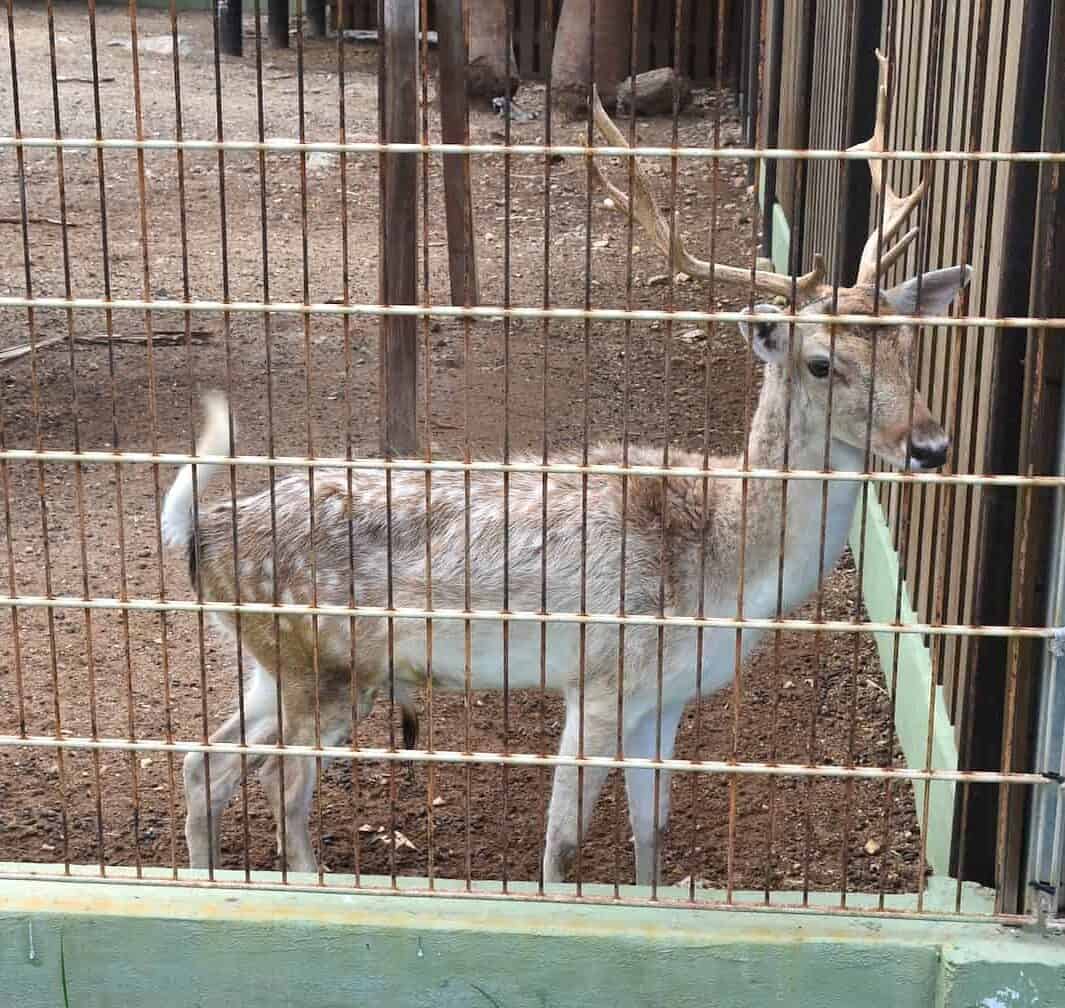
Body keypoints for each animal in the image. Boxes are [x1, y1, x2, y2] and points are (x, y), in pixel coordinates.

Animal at [161, 49, 971, 878]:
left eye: (906, 345)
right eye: (820, 363)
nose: (929, 445)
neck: (722, 566)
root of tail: (200, 534)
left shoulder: (665, 696)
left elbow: (653, 828)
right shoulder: (603, 676)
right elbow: (562, 839)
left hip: (275, 665)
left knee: (204, 760)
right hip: (320, 660)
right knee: (278, 780)